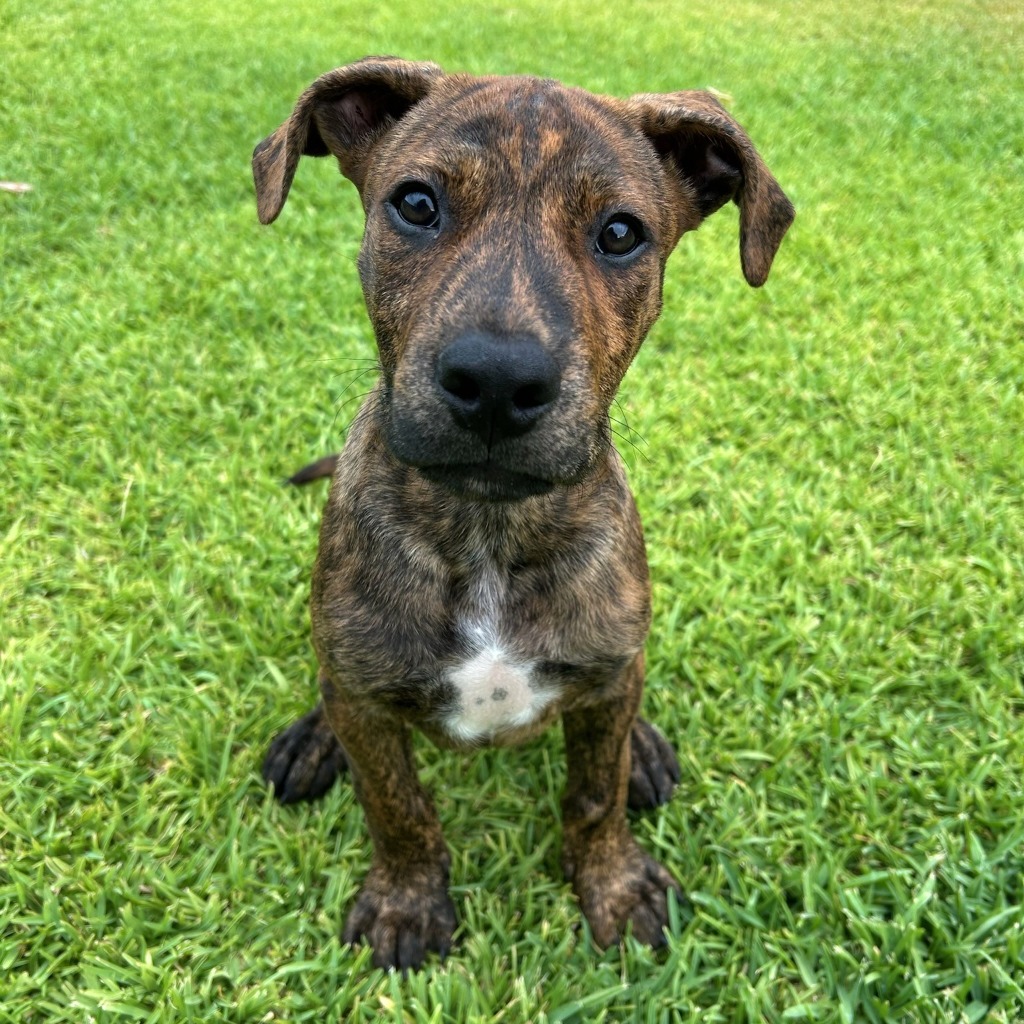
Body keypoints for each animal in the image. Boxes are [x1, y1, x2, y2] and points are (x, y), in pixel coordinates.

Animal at [252, 56, 793, 971]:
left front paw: (614, 885)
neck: (488, 533)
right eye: (416, 204)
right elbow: (397, 807)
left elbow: (593, 797)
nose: (499, 381)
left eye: (621, 233)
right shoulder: (371, 705)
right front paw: (405, 902)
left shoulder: (604, 678)